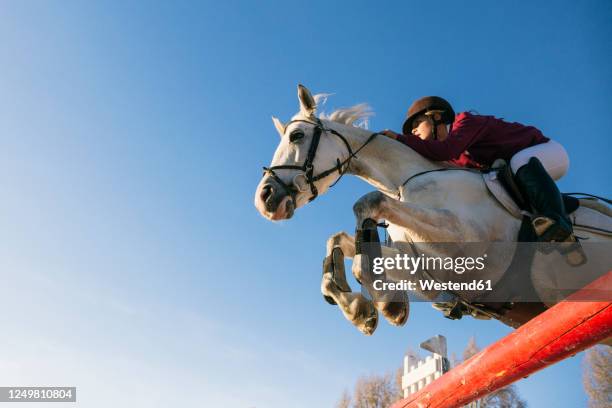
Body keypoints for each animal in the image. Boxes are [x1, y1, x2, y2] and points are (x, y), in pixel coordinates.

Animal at [253, 84, 612, 336]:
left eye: (297, 135)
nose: (265, 199)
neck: (404, 182)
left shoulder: (467, 242)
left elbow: (368, 203)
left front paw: (386, 304)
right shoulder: (425, 262)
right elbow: (338, 241)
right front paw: (362, 310)